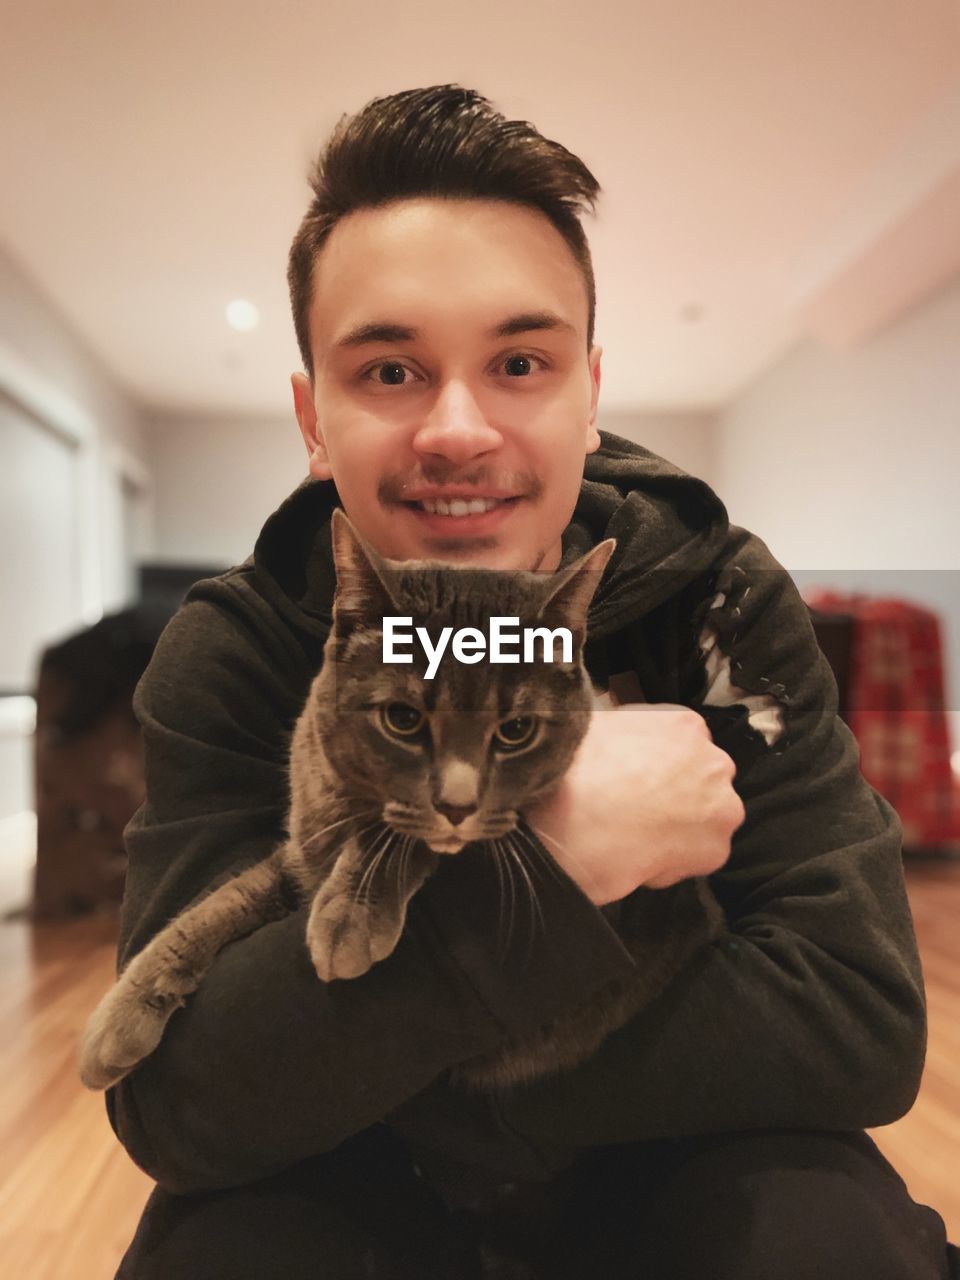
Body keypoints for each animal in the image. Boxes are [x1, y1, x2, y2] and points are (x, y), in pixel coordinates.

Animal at [79, 509, 721, 1090]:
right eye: (403, 718)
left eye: (515, 730)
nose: (458, 804)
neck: (341, 804)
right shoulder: (298, 852)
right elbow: (216, 905)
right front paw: (118, 1020)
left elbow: (396, 838)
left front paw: (350, 917)